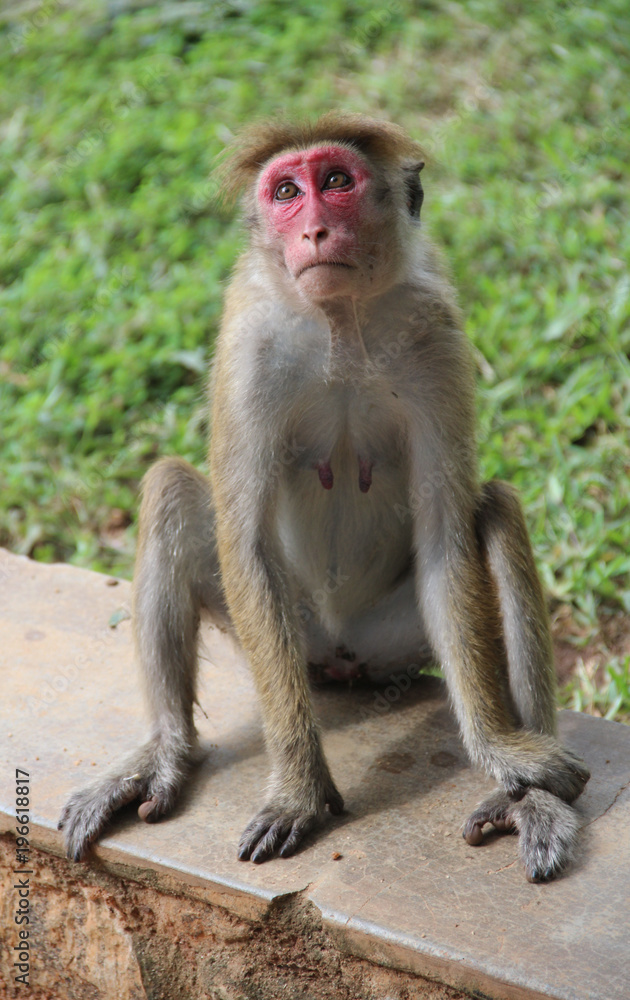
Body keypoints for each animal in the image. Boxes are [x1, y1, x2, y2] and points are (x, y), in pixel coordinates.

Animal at [59, 113, 592, 884]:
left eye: (336, 181)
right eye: (286, 192)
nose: (312, 229)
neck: (341, 319)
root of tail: (342, 651)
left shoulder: (435, 329)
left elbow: (446, 532)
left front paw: (501, 752)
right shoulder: (248, 340)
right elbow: (244, 538)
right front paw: (299, 791)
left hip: (392, 640)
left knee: (493, 510)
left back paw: (529, 801)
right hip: (296, 636)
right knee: (170, 489)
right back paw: (164, 751)